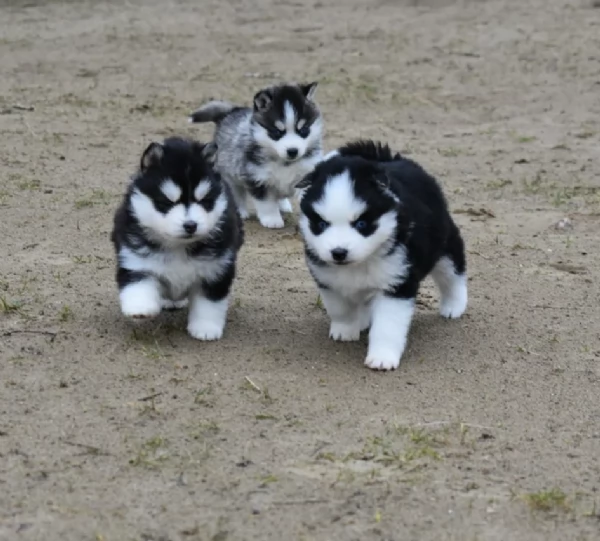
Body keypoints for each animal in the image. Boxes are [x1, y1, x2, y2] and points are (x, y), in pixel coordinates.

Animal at [110, 137, 244, 340]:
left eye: (204, 201)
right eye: (166, 203)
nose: (191, 225)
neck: (178, 245)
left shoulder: (215, 270)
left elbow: (209, 304)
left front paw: (205, 328)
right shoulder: (136, 260)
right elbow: (139, 283)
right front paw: (140, 308)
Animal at [191, 81, 324, 228]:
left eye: (303, 130)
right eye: (277, 132)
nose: (293, 151)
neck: (285, 163)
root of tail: (231, 112)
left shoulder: (307, 174)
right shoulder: (257, 178)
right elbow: (267, 203)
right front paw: (272, 219)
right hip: (230, 174)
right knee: (236, 192)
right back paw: (241, 211)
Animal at [296, 138, 468, 372]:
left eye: (361, 224)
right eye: (321, 224)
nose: (338, 253)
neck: (359, 263)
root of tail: (393, 160)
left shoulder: (396, 283)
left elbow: (387, 326)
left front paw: (382, 357)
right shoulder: (327, 280)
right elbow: (340, 308)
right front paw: (345, 330)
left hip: (443, 244)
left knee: (452, 274)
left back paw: (454, 305)